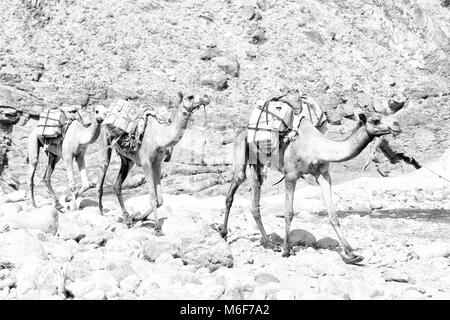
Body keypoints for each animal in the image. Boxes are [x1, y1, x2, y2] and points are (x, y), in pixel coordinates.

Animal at [96, 92, 209, 232]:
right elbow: (153, 197)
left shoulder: (157, 163)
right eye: (190, 96)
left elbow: (160, 199)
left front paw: (137, 217)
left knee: (117, 185)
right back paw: (101, 213)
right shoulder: (146, 162)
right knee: (102, 170)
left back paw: (127, 218)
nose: (206, 97)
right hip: (104, 139)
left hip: (128, 160)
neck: (159, 137)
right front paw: (157, 228)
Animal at [220, 111, 400, 264]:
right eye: (375, 120)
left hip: (258, 166)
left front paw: (352, 254)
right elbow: (289, 213)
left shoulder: (324, 174)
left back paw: (267, 243)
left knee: (254, 203)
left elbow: (333, 214)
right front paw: (287, 250)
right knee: (236, 187)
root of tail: (243, 131)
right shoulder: (291, 175)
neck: (317, 147)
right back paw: (225, 233)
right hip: (243, 153)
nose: (397, 124)